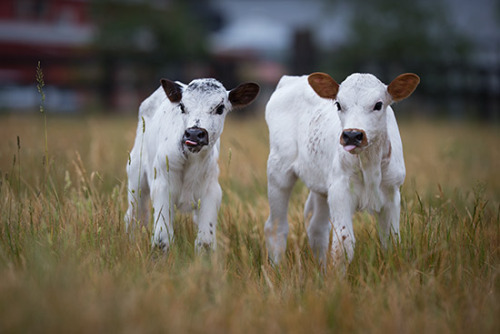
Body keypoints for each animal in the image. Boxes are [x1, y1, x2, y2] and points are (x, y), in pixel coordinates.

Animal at [125, 77, 260, 252]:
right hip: (136, 176)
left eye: (220, 108)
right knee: (135, 216)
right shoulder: (162, 186)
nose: (194, 134)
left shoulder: (211, 191)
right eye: (182, 106)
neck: (191, 160)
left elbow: (205, 242)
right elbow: (162, 240)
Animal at [264, 72, 420, 268]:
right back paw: (276, 269)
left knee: (317, 228)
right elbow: (343, 246)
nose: (352, 135)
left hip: (321, 187)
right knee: (276, 227)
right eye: (338, 104)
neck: (369, 163)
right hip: (279, 172)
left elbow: (391, 241)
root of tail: (291, 79)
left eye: (378, 105)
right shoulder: (340, 191)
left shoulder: (392, 194)